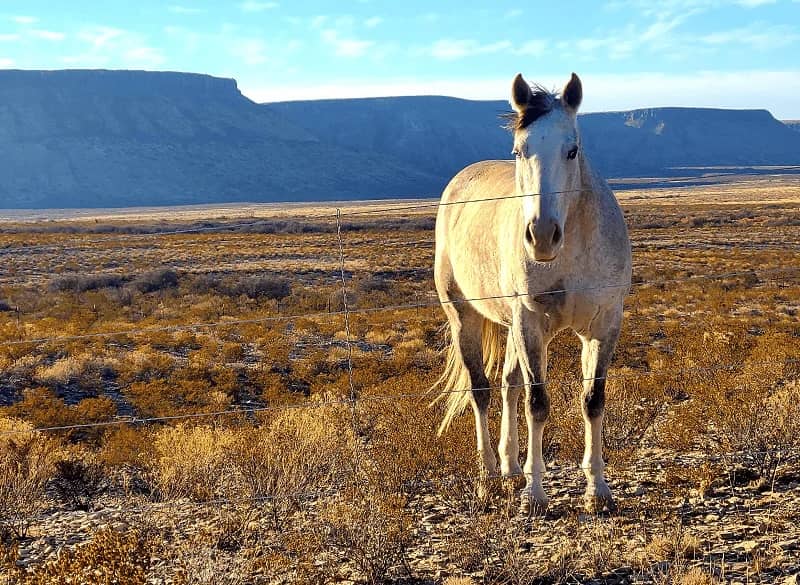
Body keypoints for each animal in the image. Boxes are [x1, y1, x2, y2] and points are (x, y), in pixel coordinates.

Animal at [434, 72, 636, 512]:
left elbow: (592, 400)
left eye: (572, 150)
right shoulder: (532, 324)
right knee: (482, 390)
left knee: (508, 383)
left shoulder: (604, 326)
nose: (542, 236)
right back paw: (490, 477)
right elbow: (537, 404)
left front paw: (598, 490)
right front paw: (535, 494)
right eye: (518, 151)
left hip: (511, 326)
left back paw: (510, 469)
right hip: (465, 317)